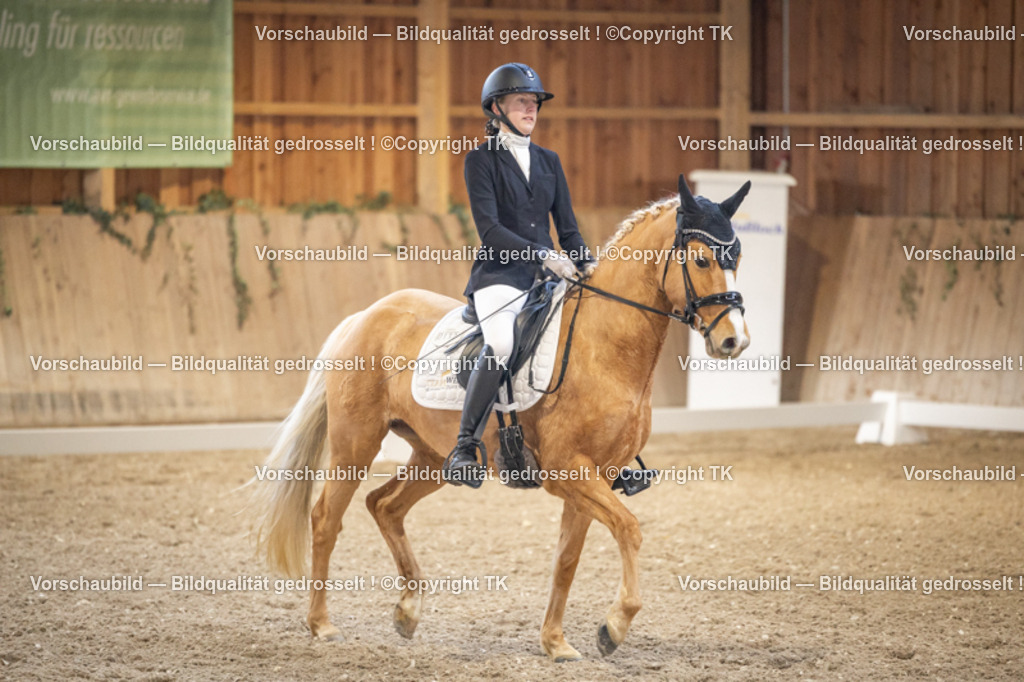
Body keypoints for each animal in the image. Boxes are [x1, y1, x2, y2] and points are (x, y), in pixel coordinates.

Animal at [248, 174, 752, 661]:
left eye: (738, 256)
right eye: (702, 260)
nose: (734, 341)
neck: (605, 346)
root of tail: (366, 315)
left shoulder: (596, 476)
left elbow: (567, 559)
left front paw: (555, 642)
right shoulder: (569, 470)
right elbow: (628, 528)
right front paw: (614, 626)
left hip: (434, 457)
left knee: (385, 506)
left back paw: (408, 611)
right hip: (356, 444)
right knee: (325, 519)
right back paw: (322, 624)